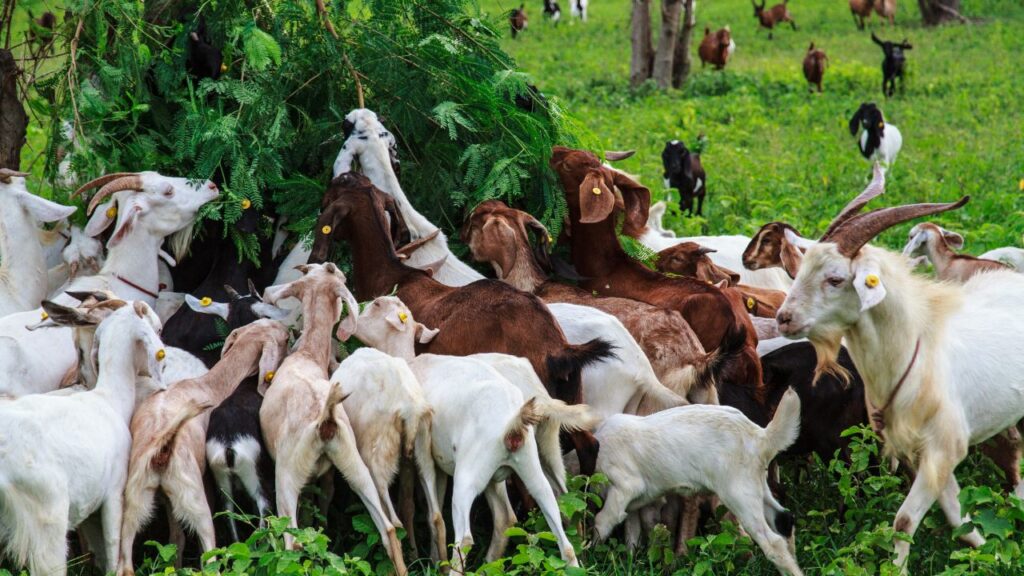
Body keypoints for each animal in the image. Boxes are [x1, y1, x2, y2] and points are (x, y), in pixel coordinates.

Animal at [116, 319, 289, 575]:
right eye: (284, 339)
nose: (289, 330)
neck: (210, 385)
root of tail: (161, 448)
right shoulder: (207, 478)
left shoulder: (170, 499)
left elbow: (176, 539)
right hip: (195, 499)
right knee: (209, 558)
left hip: (136, 502)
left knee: (125, 564)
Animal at [258, 263, 406, 572]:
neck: (307, 356)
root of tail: (325, 419)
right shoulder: (325, 475)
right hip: (352, 460)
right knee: (388, 528)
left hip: (286, 473)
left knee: (291, 542)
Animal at [354, 299, 582, 573]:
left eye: (376, 305)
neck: (410, 362)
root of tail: (513, 422)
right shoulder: (440, 462)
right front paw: (434, 559)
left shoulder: (417, 454)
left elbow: (417, 508)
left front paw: (423, 557)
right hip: (534, 459)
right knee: (555, 514)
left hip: (469, 474)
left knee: (465, 537)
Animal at [594, 388, 803, 575]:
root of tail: (759, 435)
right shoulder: (632, 503)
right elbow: (631, 531)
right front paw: (630, 561)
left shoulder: (625, 486)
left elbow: (602, 522)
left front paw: (591, 555)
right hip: (756, 485)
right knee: (784, 519)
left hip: (738, 494)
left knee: (772, 542)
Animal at [774, 186, 1024, 570]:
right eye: (800, 271)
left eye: (835, 279)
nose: (784, 318)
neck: (913, 355)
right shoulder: (921, 453)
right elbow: (958, 516)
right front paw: (993, 556)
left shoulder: (944, 447)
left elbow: (903, 521)